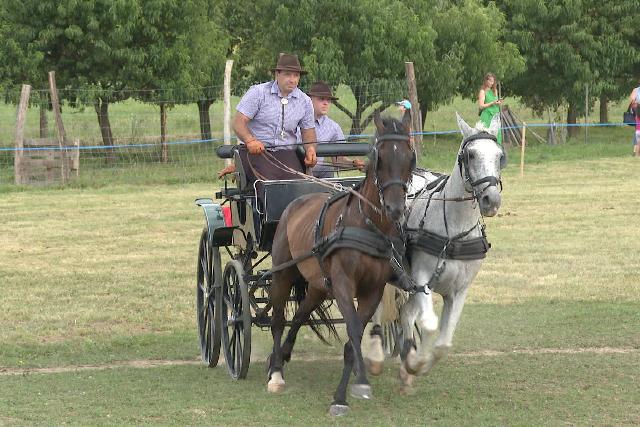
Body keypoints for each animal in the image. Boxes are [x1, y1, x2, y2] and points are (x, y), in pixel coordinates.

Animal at [264, 111, 416, 418]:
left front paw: (346, 391)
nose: (395, 209)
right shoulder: (345, 284)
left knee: (299, 316)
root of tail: (296, 201)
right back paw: (275, 373)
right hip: (283, 274)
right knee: (278, 321)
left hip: (318, 285)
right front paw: (353, 388)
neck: (366, 224)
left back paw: (282, 355)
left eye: (410, 157)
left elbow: (353, 336)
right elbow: (354, 332)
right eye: (379, 157)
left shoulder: (372, 291)